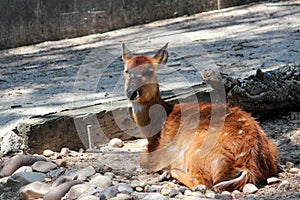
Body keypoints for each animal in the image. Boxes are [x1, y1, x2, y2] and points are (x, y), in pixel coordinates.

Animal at [120, 43, 278, 191]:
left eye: (149, 71)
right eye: (126, 70)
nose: (132, 92)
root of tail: (248, 165)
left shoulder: (156, 155)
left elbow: (142, 158)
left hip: (197, 150)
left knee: (202, 181)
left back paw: (170, 172)